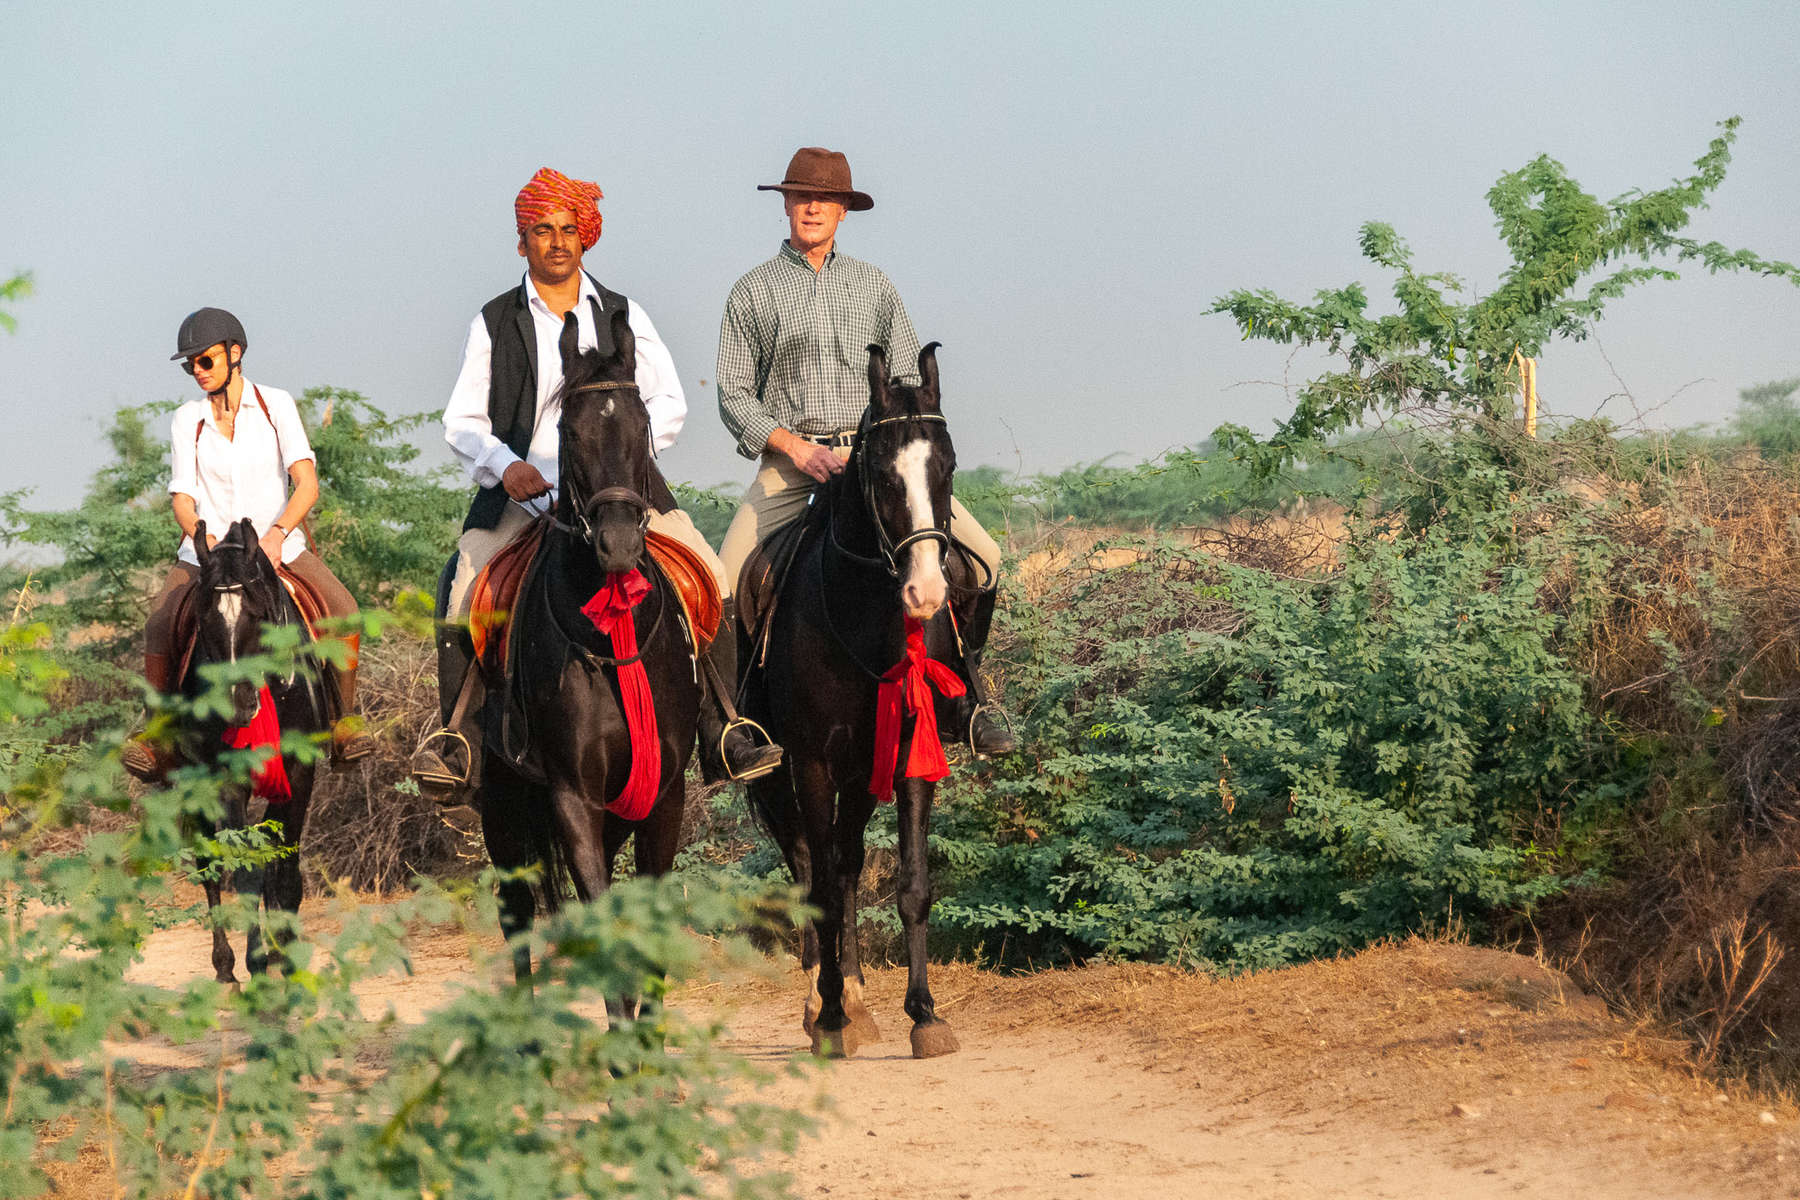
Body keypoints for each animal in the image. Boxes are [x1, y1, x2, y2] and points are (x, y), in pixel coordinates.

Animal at [182, 518, 331, 985]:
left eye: (259, 613)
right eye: (203, 616)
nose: (237, 701)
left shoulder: (299, 774)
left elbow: (284, 868)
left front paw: (288, 956)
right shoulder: (226, 783)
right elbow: (247, 869)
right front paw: (258, 963)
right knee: (207, 867)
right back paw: (225, 968)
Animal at [478, 307, 702, 985]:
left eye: (642, 424)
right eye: (569, 431)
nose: (618, 545)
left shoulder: (662, 795)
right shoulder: (572, 798)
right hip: (501, 804)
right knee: (517, 914)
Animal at [741, 341, 972, 1057]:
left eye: (948, 466)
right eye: (882, 476)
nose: (927, 593)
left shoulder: (904, 753)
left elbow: (911, 882)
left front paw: (925, 1014)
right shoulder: (811, 762)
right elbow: (817, 884)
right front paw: (829, 1019)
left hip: (859, 772)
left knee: (843, 863)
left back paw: (857, 999)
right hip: (779, 772)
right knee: (810, 864)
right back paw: (824, 1004)